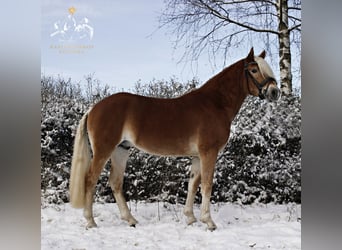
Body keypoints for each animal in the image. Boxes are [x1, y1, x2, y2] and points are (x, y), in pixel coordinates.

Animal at [69, 47, 280, 231]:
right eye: (254, 69)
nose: (274, 92)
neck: (215, 103)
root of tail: (93, 109)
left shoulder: (197, 156)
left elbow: (193, 184)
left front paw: (191, 218)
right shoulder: (208, 153)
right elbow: (207, 185)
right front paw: (208, 222)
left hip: (121, 150)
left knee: (115, 182)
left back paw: (130, 220)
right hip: (104, 150)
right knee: (90, 179)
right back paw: (90, 221)